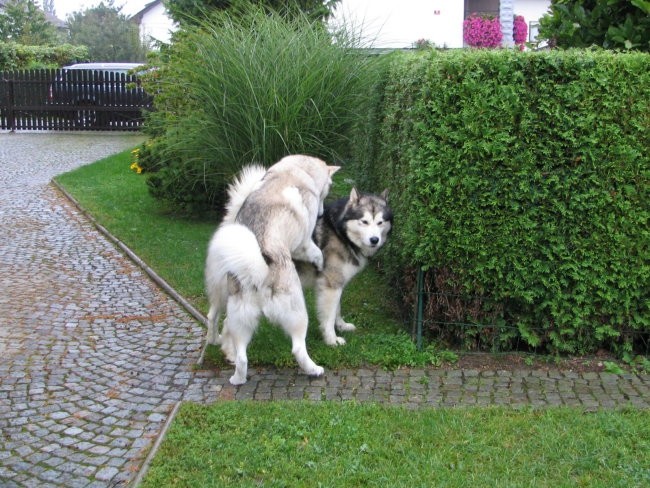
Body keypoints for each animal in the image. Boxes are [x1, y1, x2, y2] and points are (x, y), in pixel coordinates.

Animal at [206, 156, 340, 386]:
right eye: (326, 190)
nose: (322, 213)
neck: (295, 171)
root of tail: (258, 272)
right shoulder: (304, 244)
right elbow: (317, 254)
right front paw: (320, 264)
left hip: (240, 319)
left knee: (240, 355)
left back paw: (237, 378)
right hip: (298, 314)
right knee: (298, 349)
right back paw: (314, 369)